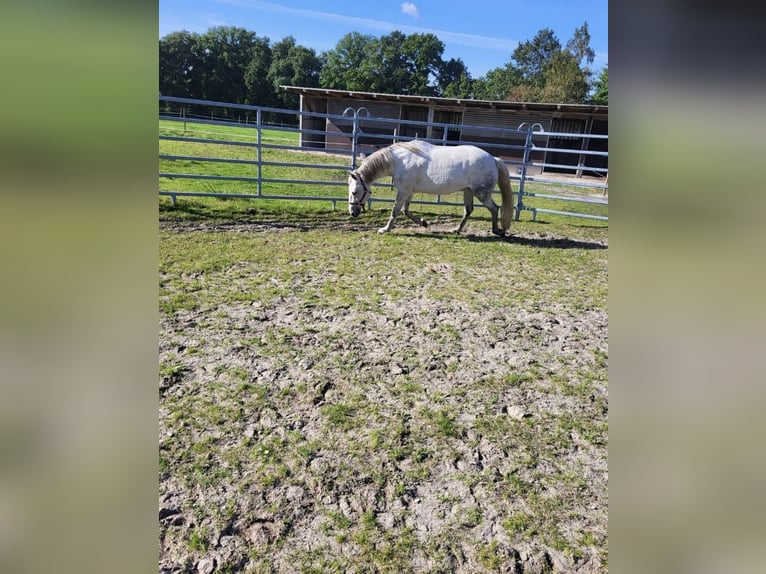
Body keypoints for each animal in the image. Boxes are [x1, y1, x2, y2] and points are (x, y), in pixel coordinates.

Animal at [350, 140, 516, 236]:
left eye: (354, 191)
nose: (352, 212)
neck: (399, 161)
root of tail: (493, 159)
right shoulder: (409, 191)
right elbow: (405, 210)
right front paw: (423, 223)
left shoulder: (403, 190)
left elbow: (396, 211)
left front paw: (385, 229)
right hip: (468, 191)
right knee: (468, 210)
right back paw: (456, 230)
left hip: (481, 193)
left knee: (494, 208)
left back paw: (497, 231)